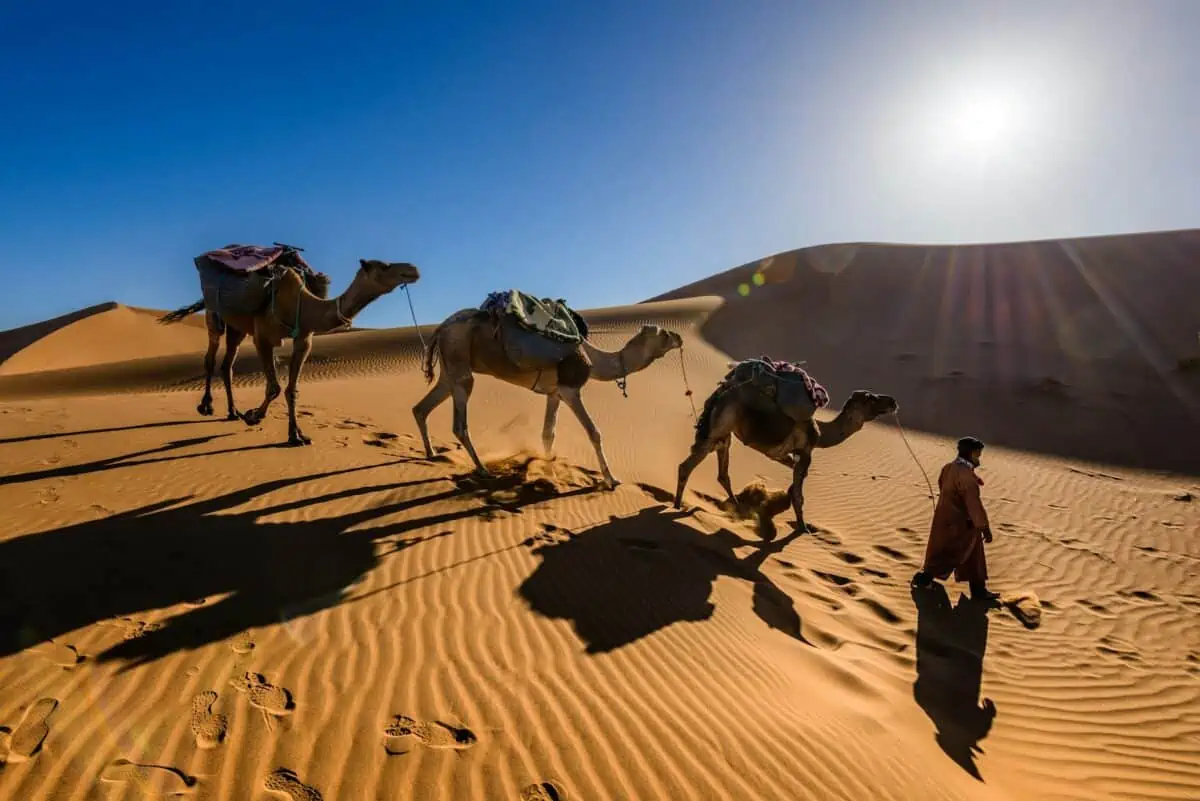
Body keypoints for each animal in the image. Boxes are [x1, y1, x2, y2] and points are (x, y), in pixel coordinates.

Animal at [412, 288, 681, 489]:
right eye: (664, 334)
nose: (679, 338)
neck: (593, 359)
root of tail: (440, 328)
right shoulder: (570, 389)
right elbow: (594, 432)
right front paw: (611, 480)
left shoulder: (555, 393)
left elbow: (548, 434)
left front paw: (549, 473)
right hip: (458, 357)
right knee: (459, 422)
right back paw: (482, 469)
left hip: (450, 367)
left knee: (422, 407)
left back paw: (432, 453)